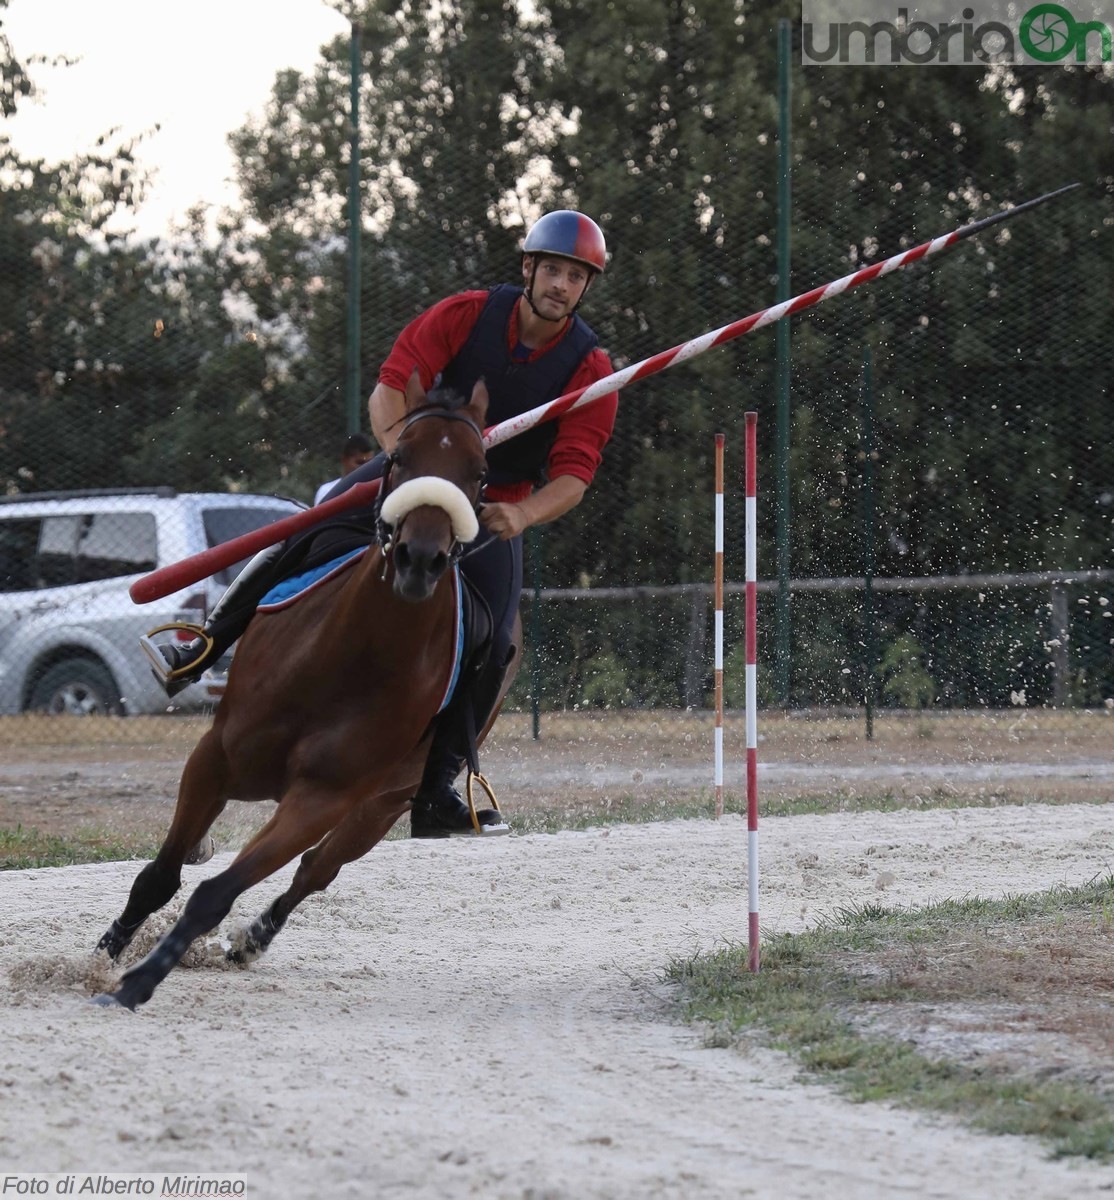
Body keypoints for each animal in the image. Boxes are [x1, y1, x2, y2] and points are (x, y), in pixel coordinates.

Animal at [94, 376, 513, 1012]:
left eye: (481, 472)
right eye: (398, 457)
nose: (420, 558)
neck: (349, 655)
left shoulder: (323, 797)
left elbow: (219, 892)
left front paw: (141, 980)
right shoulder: (215, 758)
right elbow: (160, 875)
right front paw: (104, 955)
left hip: (385, 802)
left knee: (317, 870)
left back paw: (254, 938)